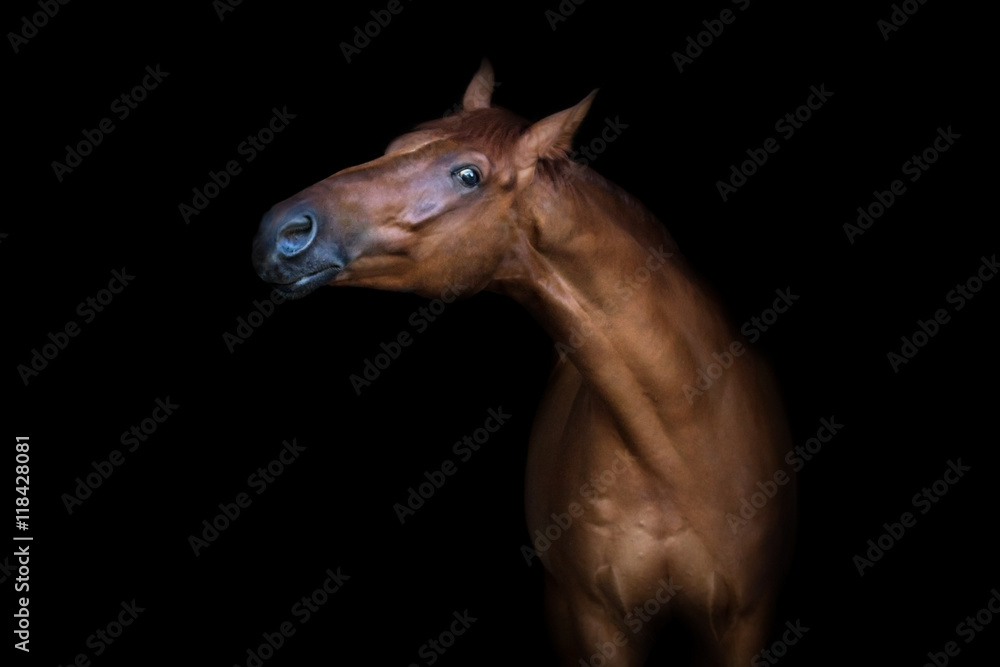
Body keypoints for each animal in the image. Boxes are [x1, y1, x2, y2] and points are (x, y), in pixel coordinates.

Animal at [252, 60, 796, 666]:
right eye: (395, 146)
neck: (679, 438)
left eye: (467, 175)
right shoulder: (597, 621)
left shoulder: (745, 623)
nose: (280, 232)